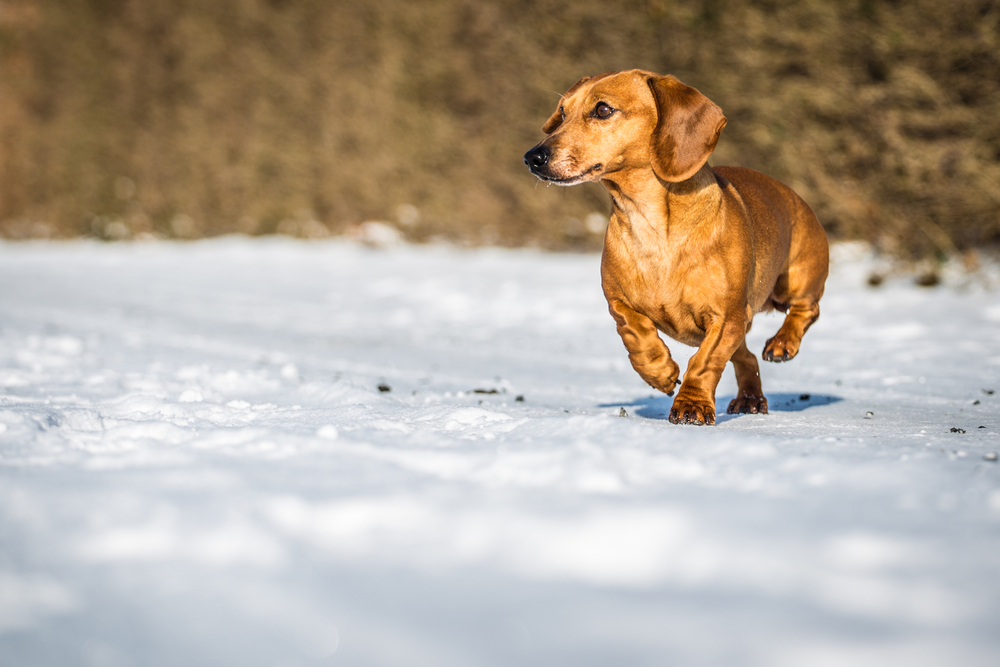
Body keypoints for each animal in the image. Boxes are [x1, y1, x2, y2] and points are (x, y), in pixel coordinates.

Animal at [524, 70, 828, 426]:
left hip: (795, 280)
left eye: (602, 109)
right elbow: (635, 333)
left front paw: (691, 405)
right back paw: (750, 400)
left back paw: (782, 344)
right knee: (748, 357)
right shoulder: (618, 303)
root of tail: (795, 196)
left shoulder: (726, 318)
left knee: (806, 310)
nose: (533, 157)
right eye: (562, 112)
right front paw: (660, 372)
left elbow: (705, 362)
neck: (652, 226)